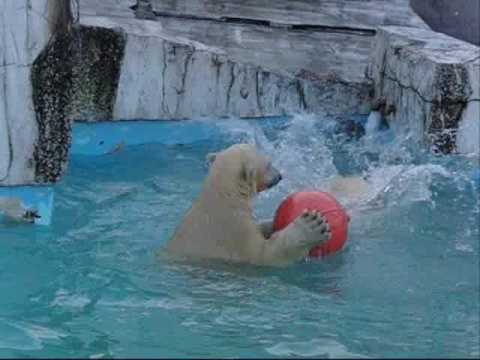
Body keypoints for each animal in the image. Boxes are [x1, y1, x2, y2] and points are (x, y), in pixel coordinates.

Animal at [167, 144, 332, 268]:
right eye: (269, 164)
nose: (280, 175)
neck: (223, 198)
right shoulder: (234, 233)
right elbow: (265, 255)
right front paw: (311, 225)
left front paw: (272, 223)